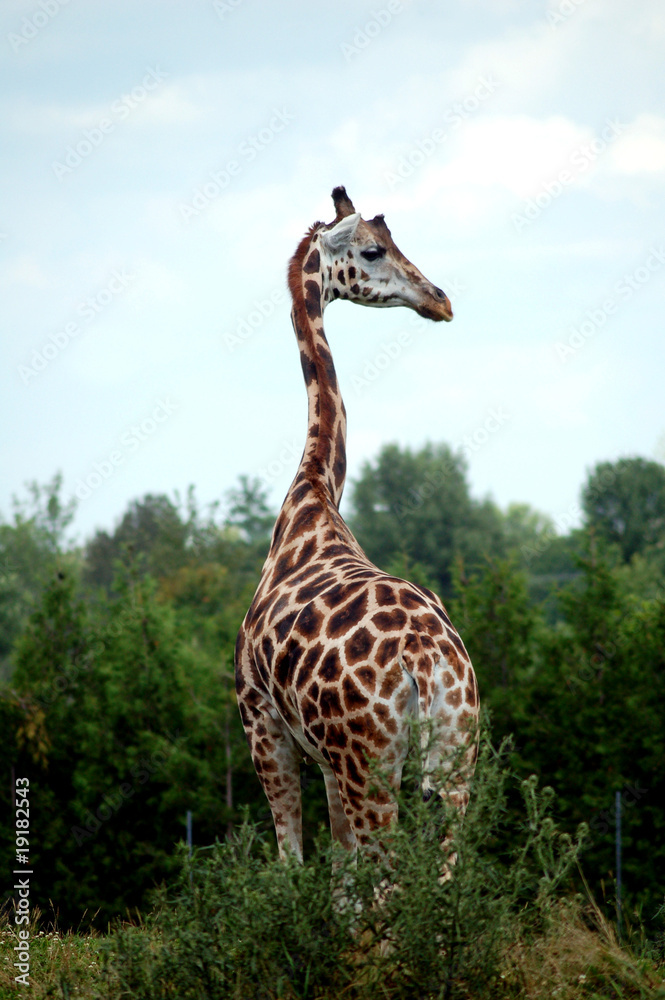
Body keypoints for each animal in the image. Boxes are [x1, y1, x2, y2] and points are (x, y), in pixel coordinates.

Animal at [235, 186, 478, 869]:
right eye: (374, 249)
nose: (440, 299)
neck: (313, 495)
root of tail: (428, 661)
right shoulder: (315, 755)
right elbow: (339, 875)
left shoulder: (263, 726)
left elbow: (295, 863)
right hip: (455, 757)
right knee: (445, 873)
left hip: (366, 764)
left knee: (391, 876)